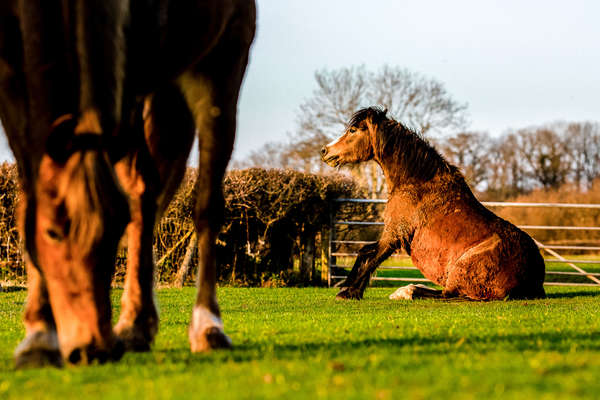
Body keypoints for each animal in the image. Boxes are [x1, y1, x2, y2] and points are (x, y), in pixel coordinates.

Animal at [0, 0, 255, 368]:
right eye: (52, 232)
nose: (92, 348)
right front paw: (39, 337)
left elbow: (140, 201)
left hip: (220, 67)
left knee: (201, 205)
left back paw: (204, 326)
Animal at [322, 108, 548, 302]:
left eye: (352, 130)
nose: (325, 151)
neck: (416, 183)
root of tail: (535, 278)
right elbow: (367, 253)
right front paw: (349, 287)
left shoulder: (394, 233)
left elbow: (371, 257)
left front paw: (349, 292)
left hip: (460, 272)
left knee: (448, 294)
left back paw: (407, 291)